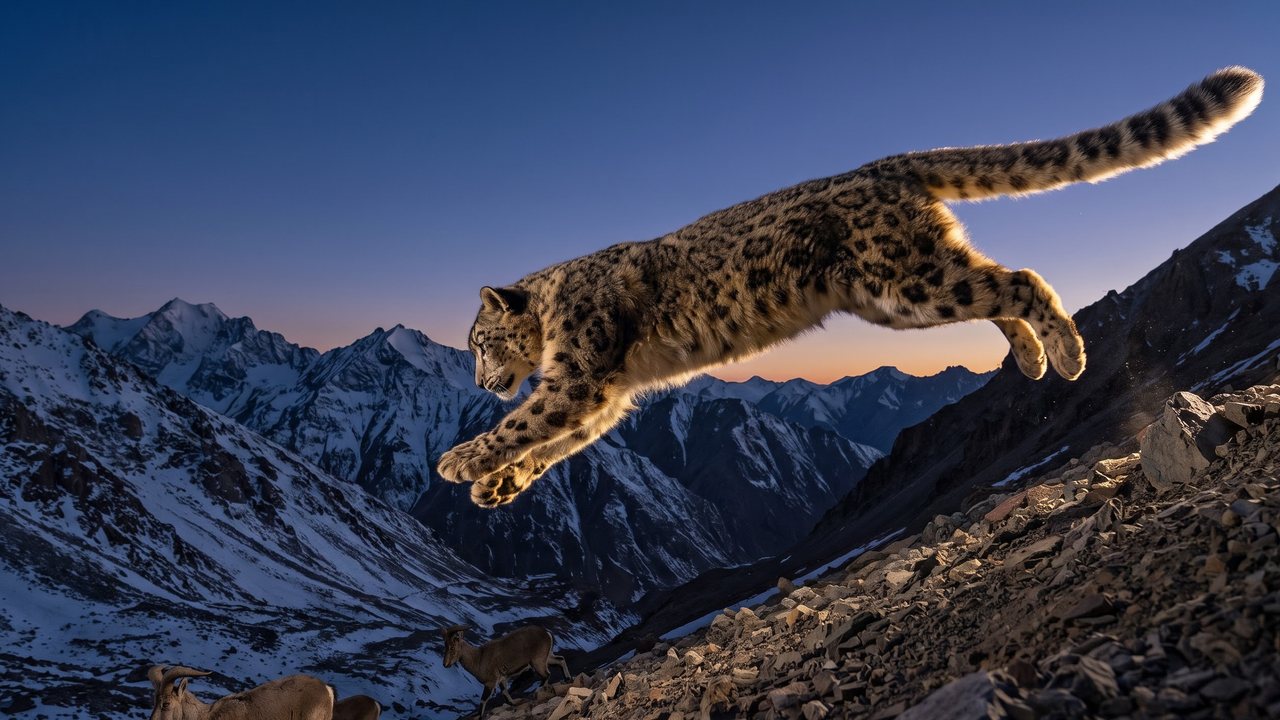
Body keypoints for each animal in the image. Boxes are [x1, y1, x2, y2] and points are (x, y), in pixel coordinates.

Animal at [438, 66, 1263, 508]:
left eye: (478, 342)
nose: (477, 381)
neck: (552, 317)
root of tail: (882, 165)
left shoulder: (581, 373)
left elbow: (529, 422)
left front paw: (461, 460)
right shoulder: (606, 394)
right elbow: (555, 443)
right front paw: (495, 486)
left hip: (906, 280)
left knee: (1020, 280)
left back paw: (1065, 356)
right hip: (901, 295)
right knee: (997, 286)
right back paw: (1031, 360)